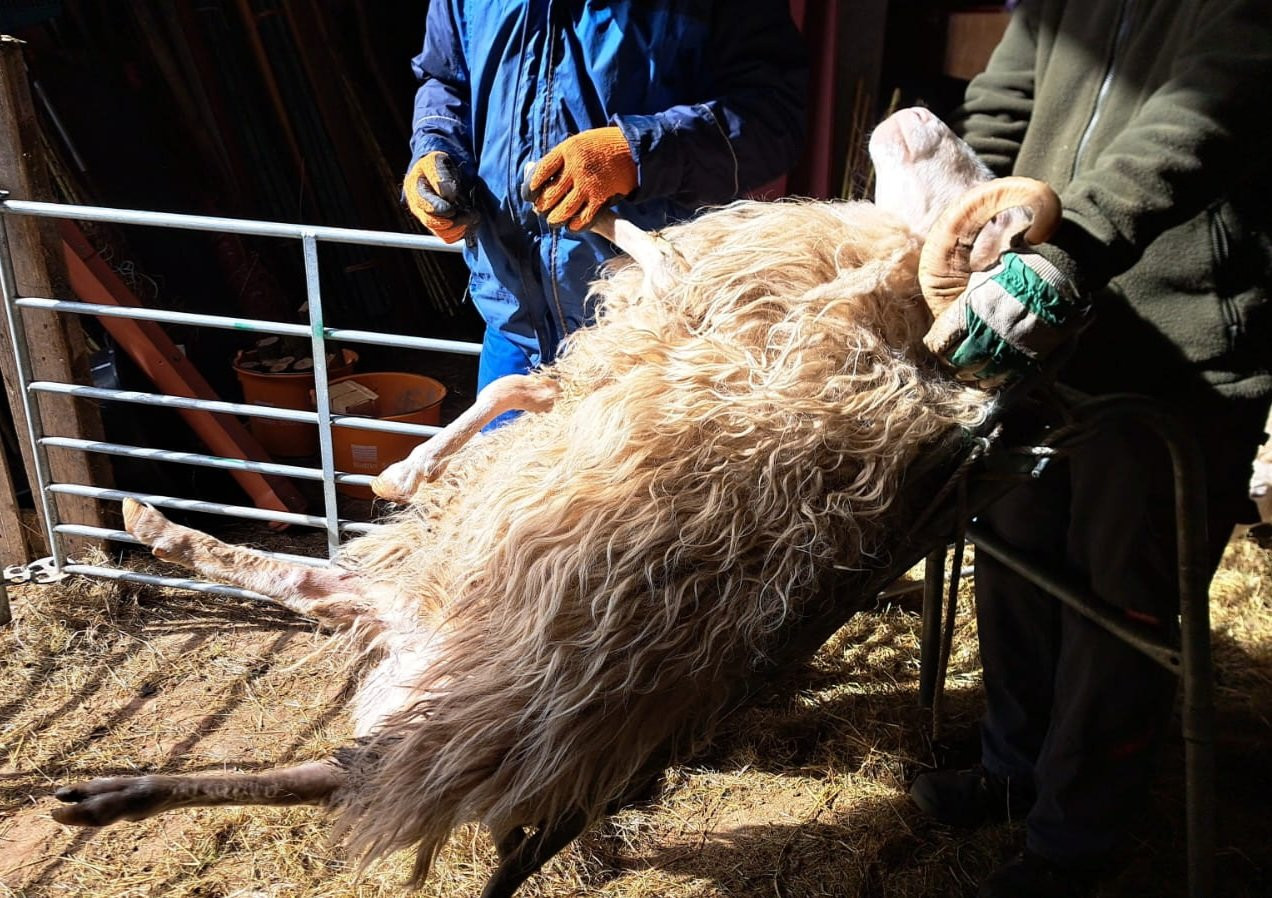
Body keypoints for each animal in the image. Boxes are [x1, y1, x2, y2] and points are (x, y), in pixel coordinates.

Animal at [50, 108, 1059, 897]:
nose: (915, 113)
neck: (892, 311)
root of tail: (414, 651)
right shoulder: (653, 343)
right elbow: (519, 389)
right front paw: (407, 472)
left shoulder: (704, 312)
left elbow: (637, 257)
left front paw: (593, 191)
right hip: (445, 636)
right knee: (316, 599)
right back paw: (162, 543)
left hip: (493, 713)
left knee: (341, 773)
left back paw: (112, 795)